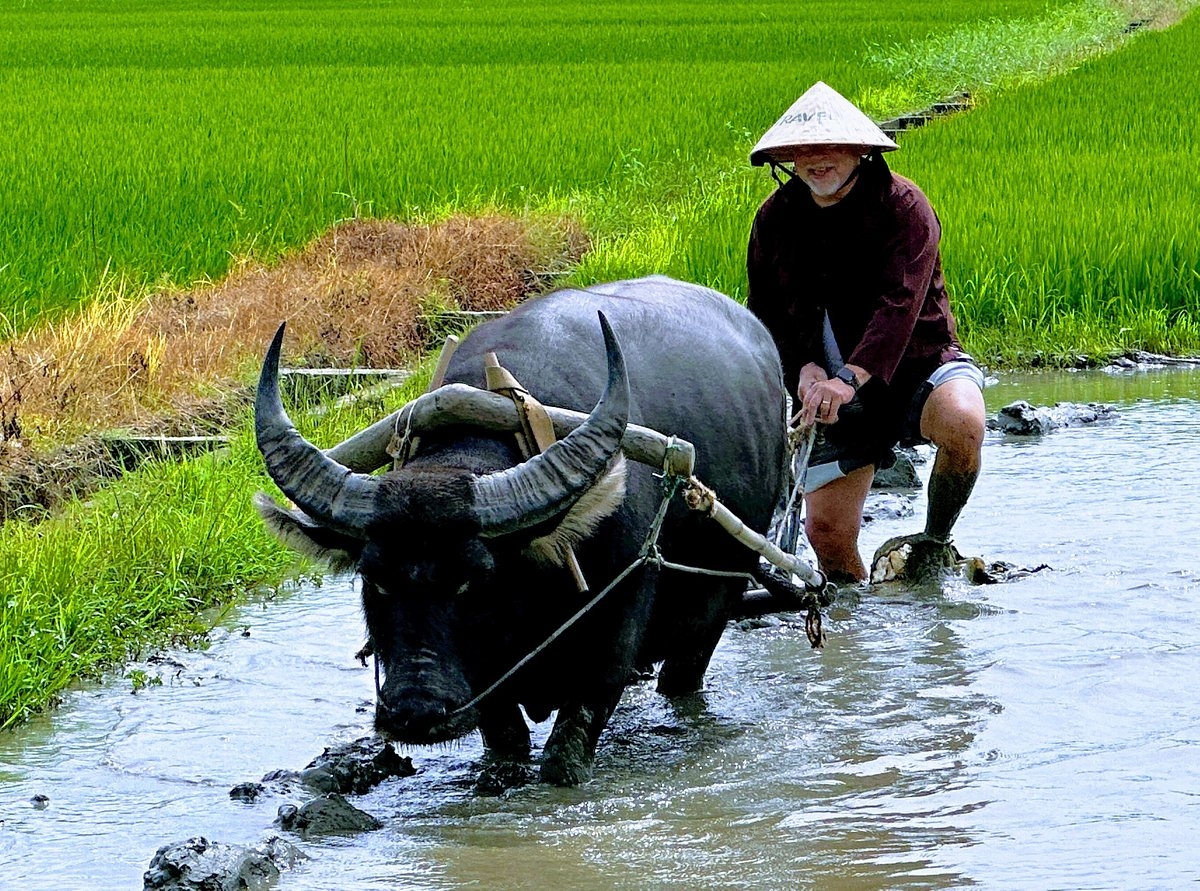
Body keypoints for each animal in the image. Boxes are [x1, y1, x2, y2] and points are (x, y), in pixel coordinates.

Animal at [253, 273, 787, 787]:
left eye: (475, 579)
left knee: (685, 670)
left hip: (717, 600)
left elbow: (567, 750)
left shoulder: (611, 641)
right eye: (373, 578)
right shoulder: (488, 688)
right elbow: (505, 740)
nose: (415, 712)